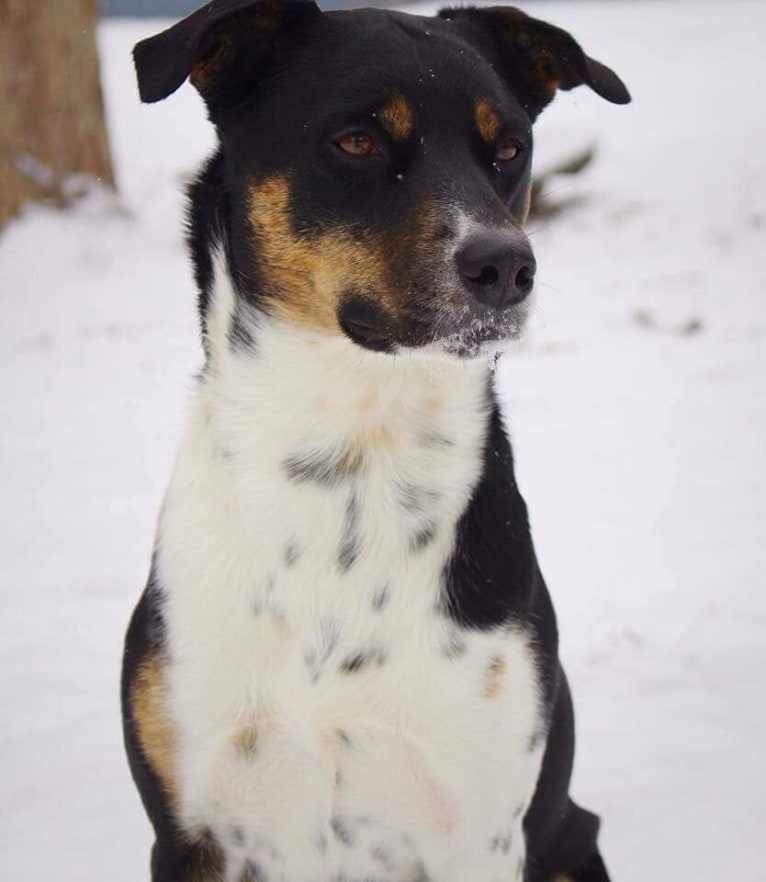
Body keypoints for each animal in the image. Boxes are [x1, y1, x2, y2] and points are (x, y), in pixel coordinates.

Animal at [123, 1, 632, 880]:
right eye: (356, 142)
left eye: (509, 150)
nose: (506, 267)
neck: (354, 454)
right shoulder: (192, 827)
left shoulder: (481, 827)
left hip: (571, 834)